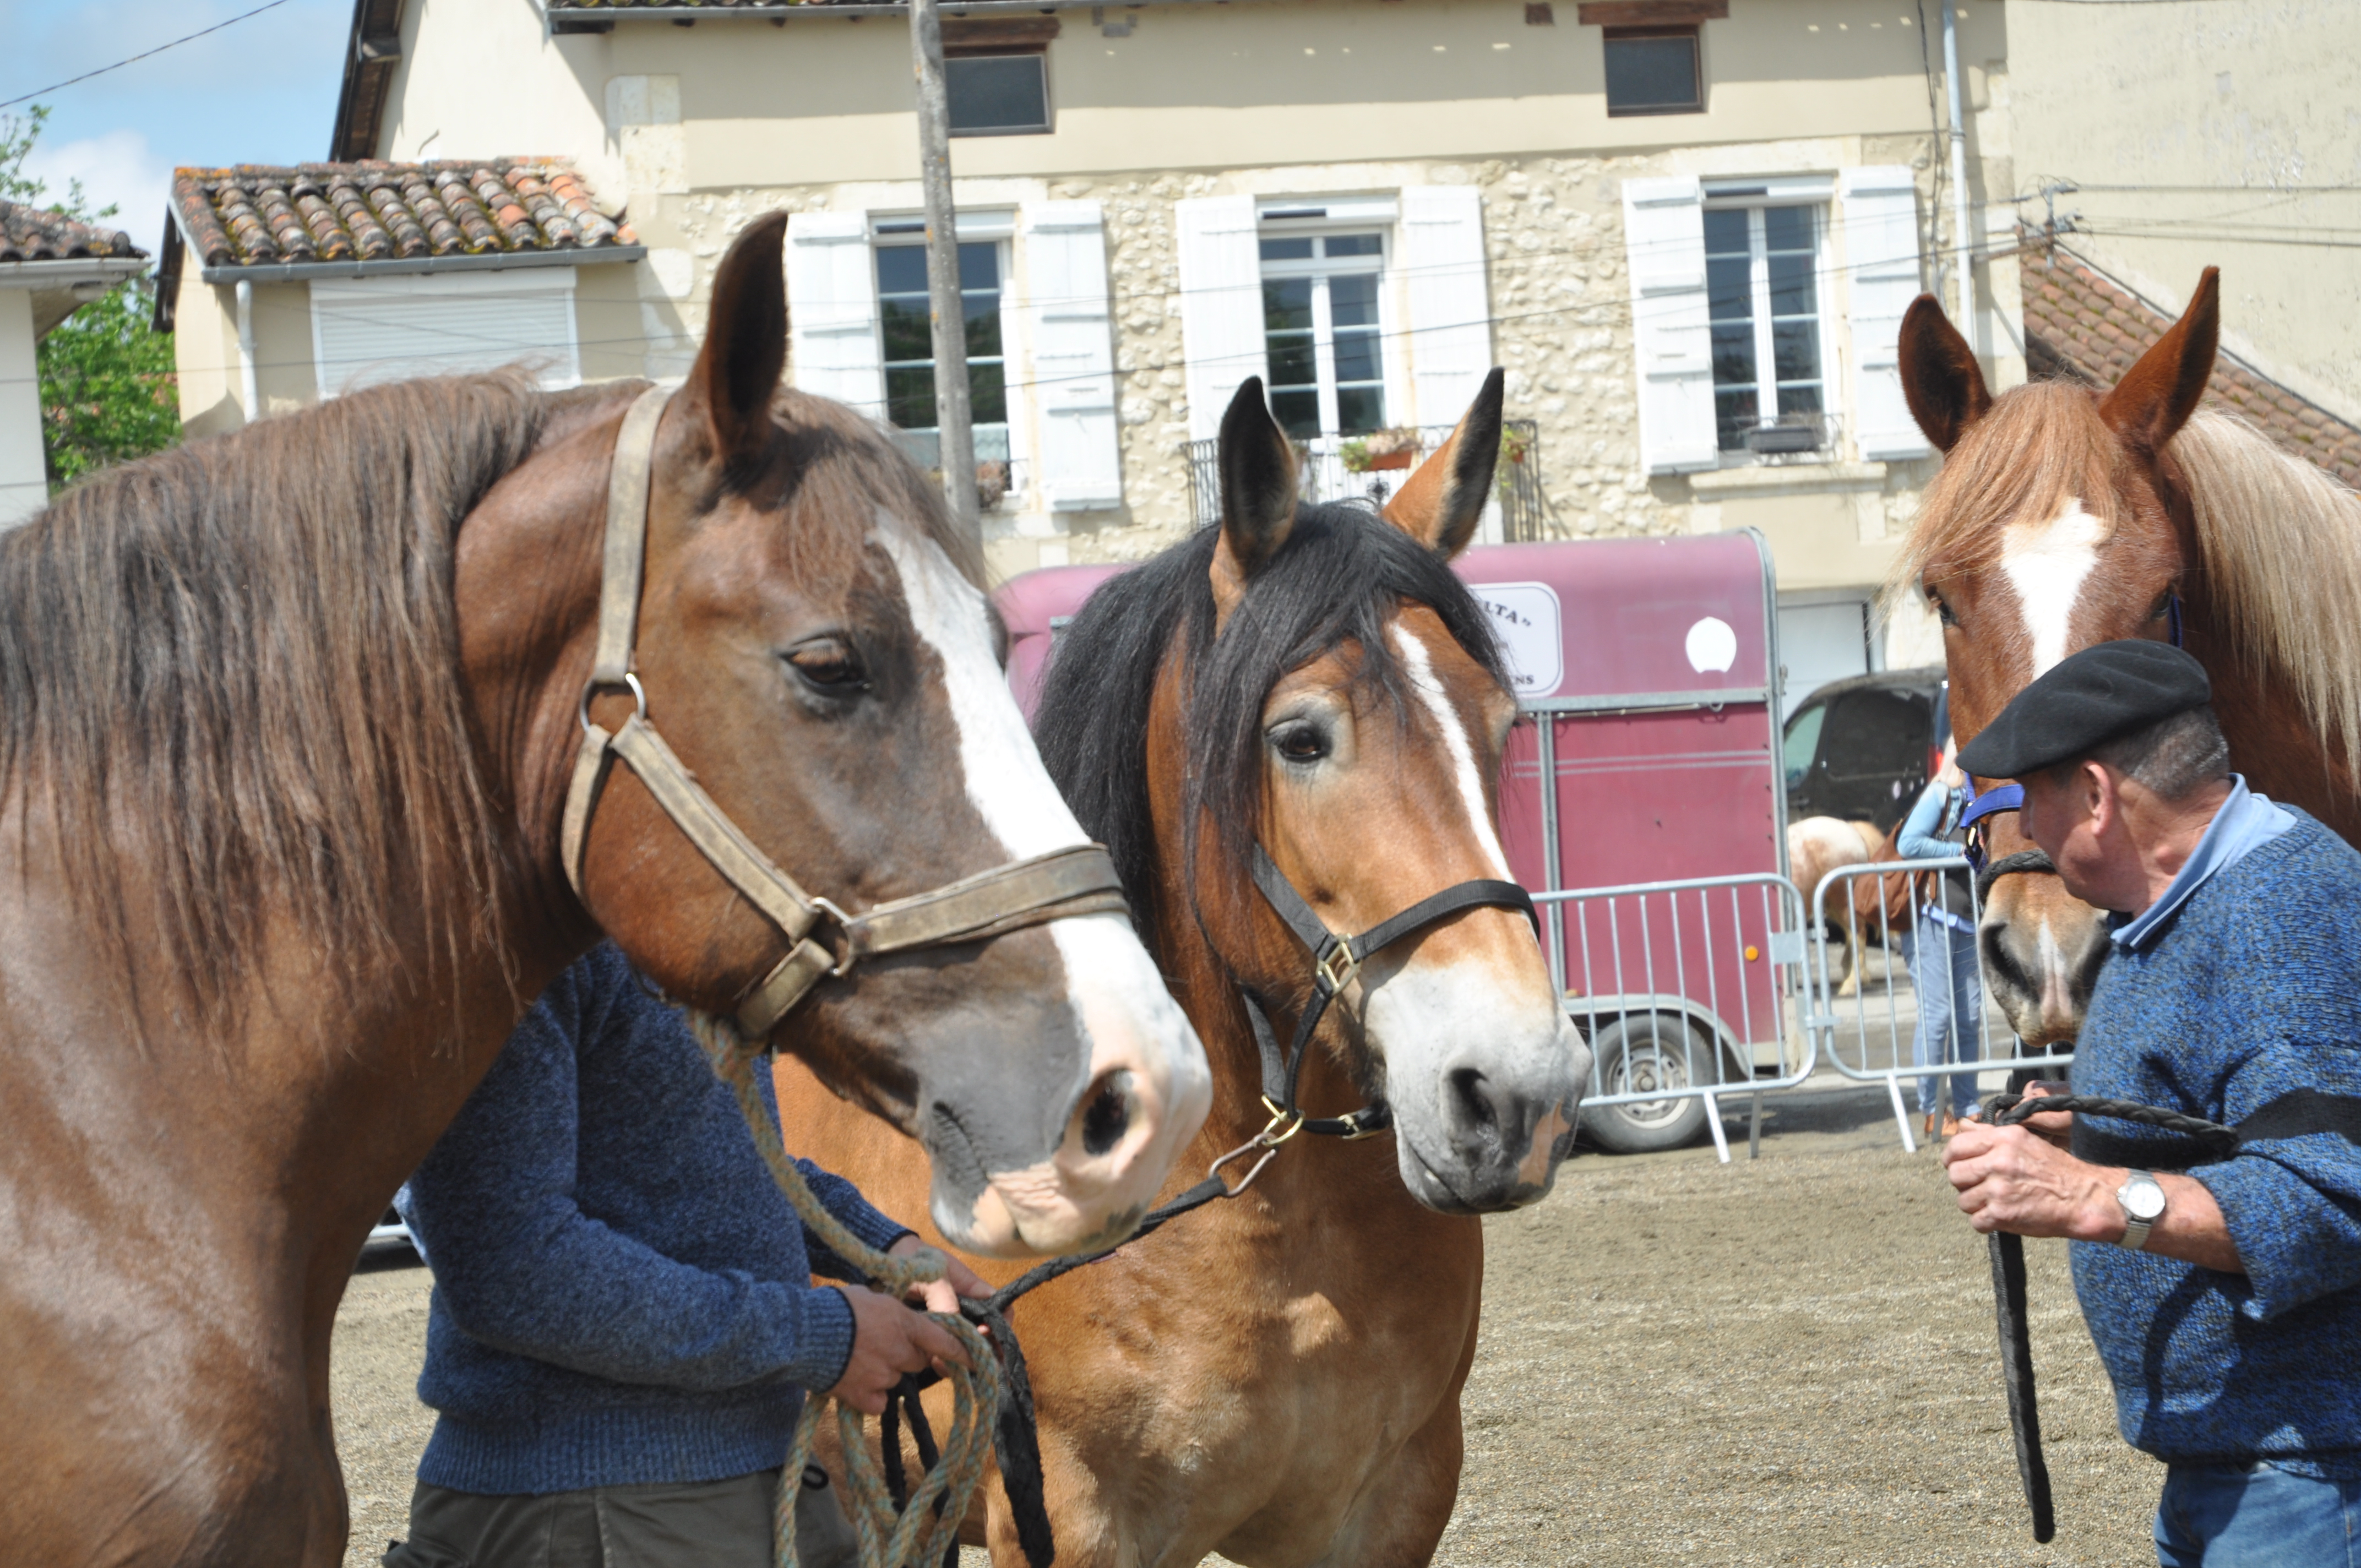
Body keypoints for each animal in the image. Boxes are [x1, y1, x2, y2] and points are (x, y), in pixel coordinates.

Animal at [1788, 815, 1886, 995]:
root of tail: (1852, 828)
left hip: (1842, 900)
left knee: (1857, 933)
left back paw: (1853, 983)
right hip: (1830, 903)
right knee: (1851, 933)